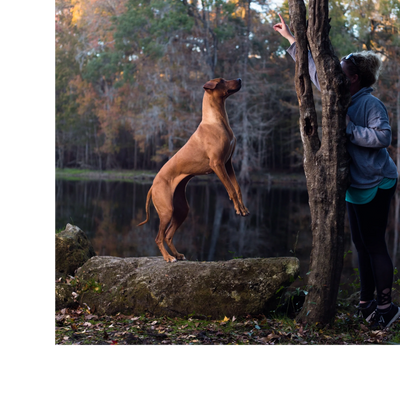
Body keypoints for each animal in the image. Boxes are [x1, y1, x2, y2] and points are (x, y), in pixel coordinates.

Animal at [138, 77, 250, 262]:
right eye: (222, 81)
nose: (240, 79)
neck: (217, 121)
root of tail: (153, 185)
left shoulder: (228, 163)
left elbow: (238, 188)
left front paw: (243, 208)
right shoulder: (217, 164)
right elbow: (231, 190)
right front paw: (238, 208)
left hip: (182, 210)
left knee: (168, 235)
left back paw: (177, 254)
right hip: (166, 211)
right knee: (159, 237)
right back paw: (168, 257)